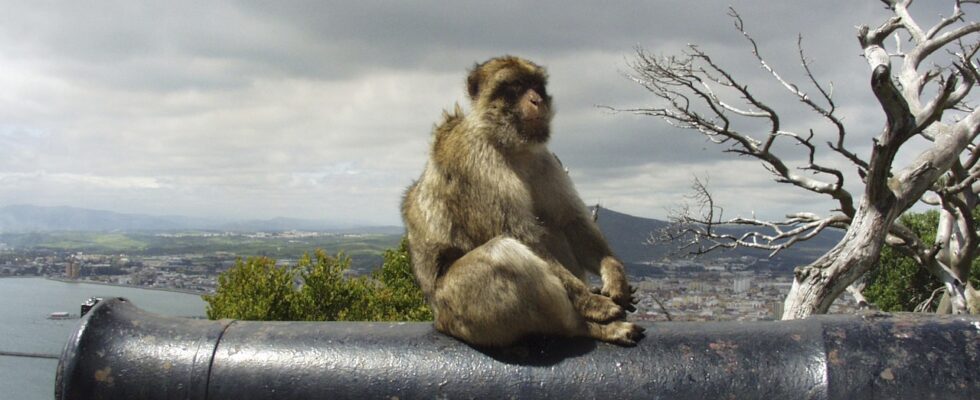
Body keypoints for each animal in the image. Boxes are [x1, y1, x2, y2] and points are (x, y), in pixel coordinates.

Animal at [398, 56, 644, 346]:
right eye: (515, 86)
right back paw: (587, 327)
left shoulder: (544, 159)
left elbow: (571, 220)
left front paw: (615, 277)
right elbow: (521, 235)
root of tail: (439, 321)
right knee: (502, 254)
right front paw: (593, 303)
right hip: (462, 311)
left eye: (536, 85)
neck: (510, 145)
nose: (537, 100)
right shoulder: (475, 160)